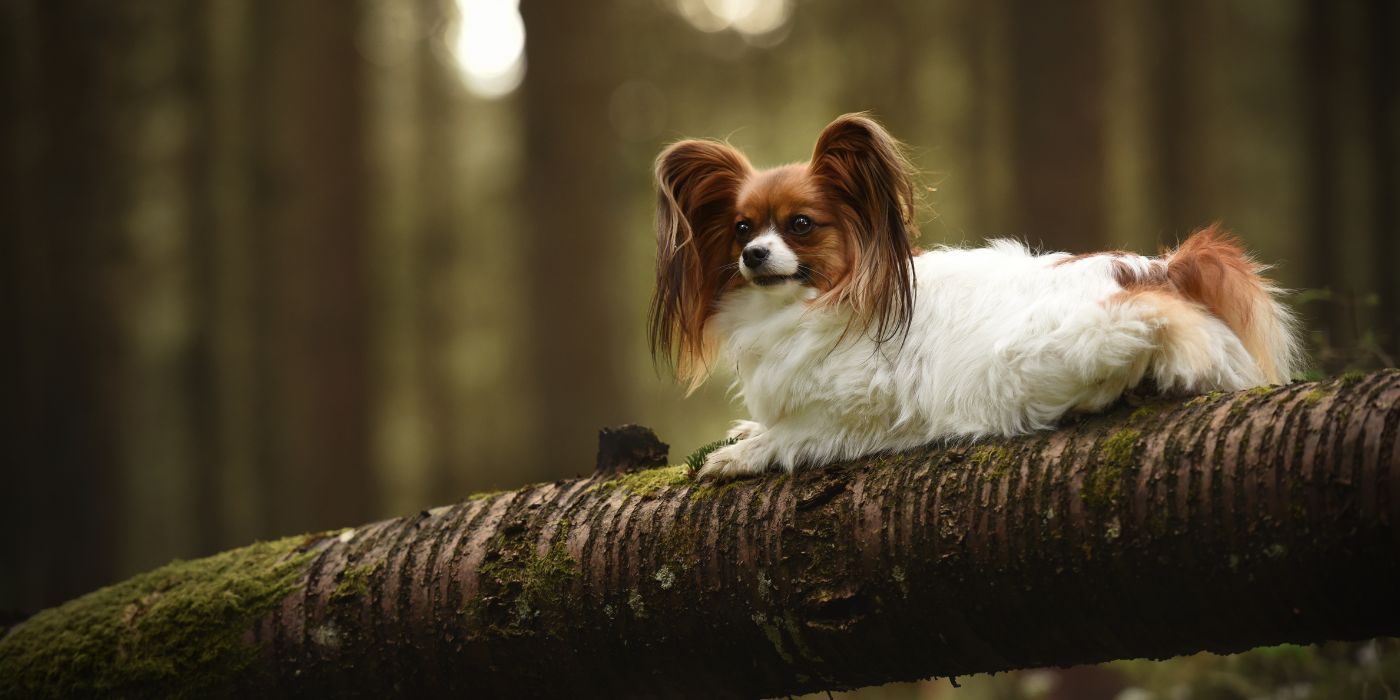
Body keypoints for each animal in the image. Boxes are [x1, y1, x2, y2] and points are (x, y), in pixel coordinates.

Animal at [644, 113, 1299, 481]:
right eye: (741, 230)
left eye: (801, 225)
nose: (754, 256)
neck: (819, 303)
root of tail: (1160, 270)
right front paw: (747, 433)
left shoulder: (861, 405)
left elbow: (799, 432)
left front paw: (749, 453)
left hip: (1063, 346)